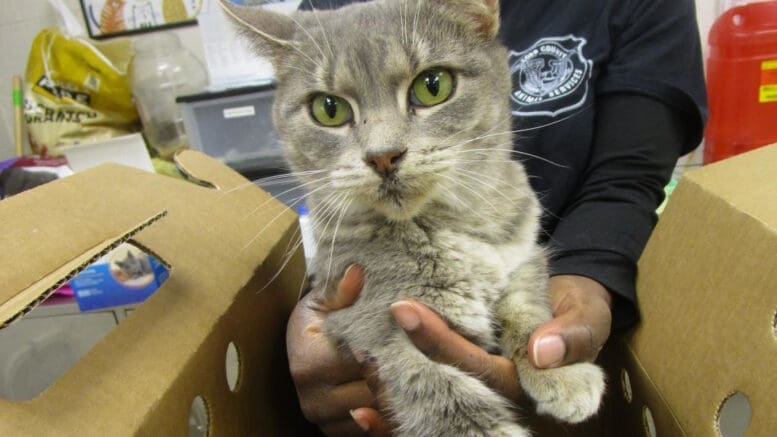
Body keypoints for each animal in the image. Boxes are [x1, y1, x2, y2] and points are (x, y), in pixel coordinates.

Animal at [221, 0, 604, 432]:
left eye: (432, 85)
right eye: (329, 109)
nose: (383, 156)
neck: (449, 223)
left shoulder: (522, 255)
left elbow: (526, 306)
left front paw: (557, 365)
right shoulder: (380, 328)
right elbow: (454, 407)